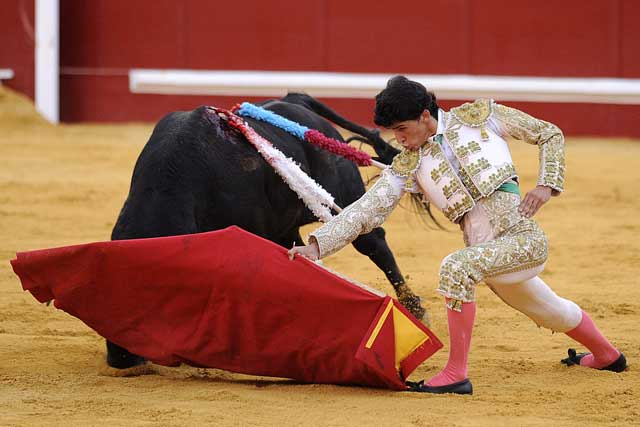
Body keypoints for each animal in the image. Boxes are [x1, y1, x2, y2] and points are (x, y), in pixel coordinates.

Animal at [106, 93, 424, 372]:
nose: (121, 359)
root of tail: (295, 102)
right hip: (286, 225)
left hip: (343, 195)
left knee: (371, 240)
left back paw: (415, 309)